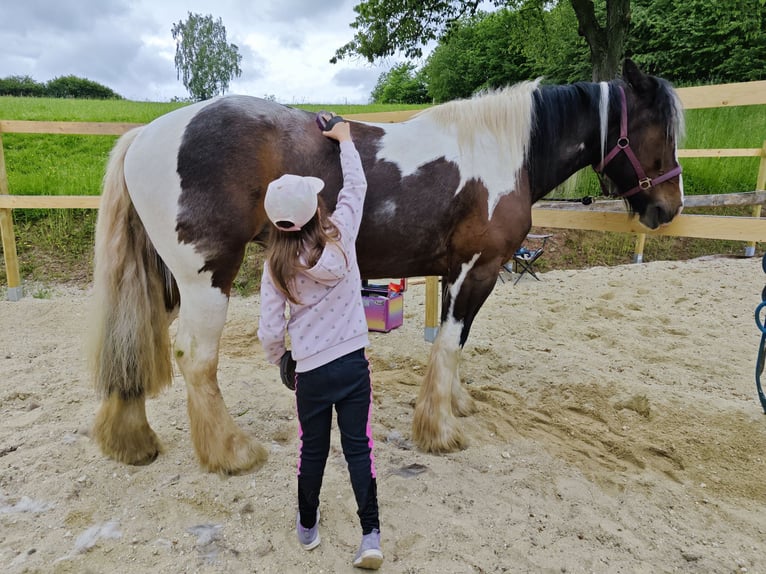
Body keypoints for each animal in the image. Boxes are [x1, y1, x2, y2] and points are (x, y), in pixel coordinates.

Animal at [87, 59, 684, 473]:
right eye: (660, 130)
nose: (667, 209)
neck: (499, 151)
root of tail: (147, 134)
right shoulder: (477, 269)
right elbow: (450, 342)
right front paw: (439, 429)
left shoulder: (456, 273)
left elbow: (454, 341)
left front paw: (455, 404)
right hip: (206, 277)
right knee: (195, 359)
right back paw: (231, 452)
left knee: (135, 349)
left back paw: (133, 442)